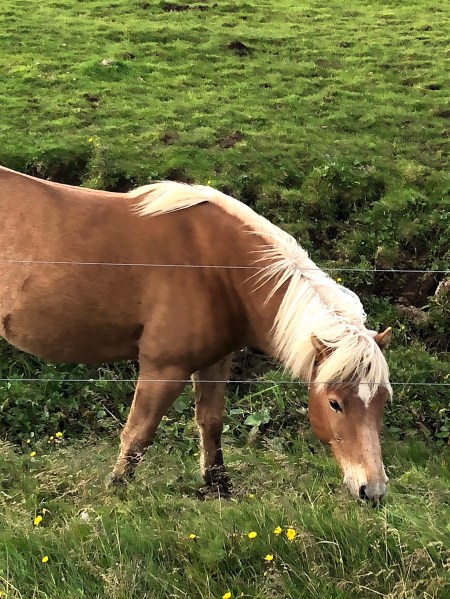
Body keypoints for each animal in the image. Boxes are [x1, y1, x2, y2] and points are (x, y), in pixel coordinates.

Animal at [0, 165, 392, 501]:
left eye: (382, 400)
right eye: (334, 403)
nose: (372, 491)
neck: (218, 268)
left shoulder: (215, 362)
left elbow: (210, 422)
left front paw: (218, 485)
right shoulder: (164, 369)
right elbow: (138, 432)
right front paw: (116, 489)